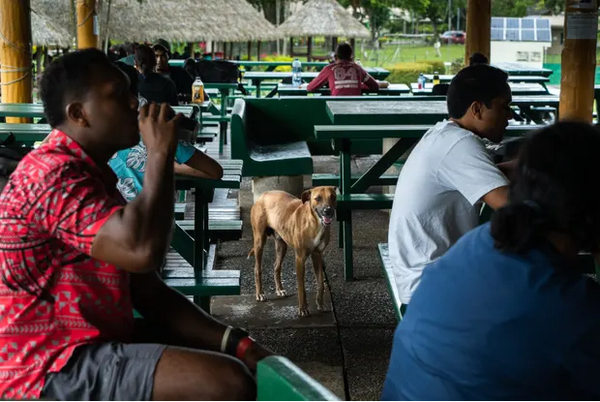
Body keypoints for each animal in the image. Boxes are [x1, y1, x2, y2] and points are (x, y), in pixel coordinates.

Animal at [246, 186, 336, 318]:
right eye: (318, 198)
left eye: (333, 196)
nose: (328, 211)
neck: (314, 223)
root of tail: (263, 195)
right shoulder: (300, 259)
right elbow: (301, 288)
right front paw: (303, 309)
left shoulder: (317, 255)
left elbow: (321, 284)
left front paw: (321, 305)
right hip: (259, 242)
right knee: (257, 269)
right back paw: (260, 294)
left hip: (282, 246)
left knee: (276, 267)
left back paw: (279, 289)